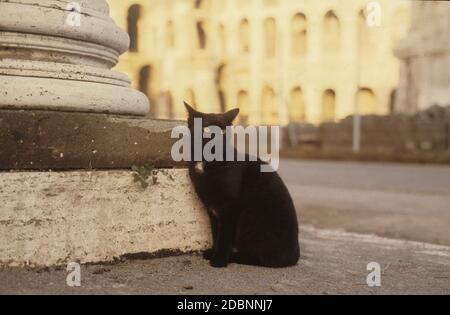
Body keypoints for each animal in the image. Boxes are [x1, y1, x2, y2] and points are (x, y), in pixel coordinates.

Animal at [183, 102, 298, 270]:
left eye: (223, 131)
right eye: (207, 129)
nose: (217, 140)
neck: (206, 162)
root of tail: (294, 256)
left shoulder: (230, 208)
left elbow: (224, 236)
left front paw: (218, 260)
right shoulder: (211, 209)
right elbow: (215, 233)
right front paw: (213, 252)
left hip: (249, 215)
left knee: (264, 259)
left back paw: (234, 256)